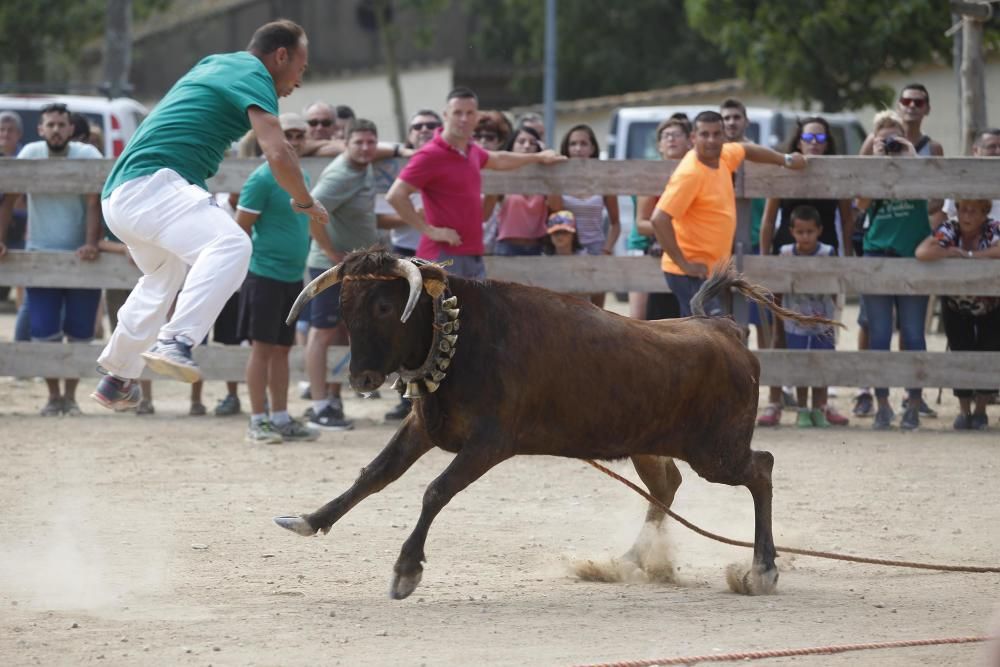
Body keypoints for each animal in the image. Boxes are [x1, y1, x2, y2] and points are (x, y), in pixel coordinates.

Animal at [276, 248, 836, 604]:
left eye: (385, 304)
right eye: (343, 305)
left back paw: (762, 569)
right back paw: (630, 560)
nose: (361, 377)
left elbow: (435, 491)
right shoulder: (425, 429)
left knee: (760, 469)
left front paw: (406, 570)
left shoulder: (488, 443)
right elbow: (374, 474)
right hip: (650, 445)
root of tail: (722, 329)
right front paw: (309, 519)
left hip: (718, 453)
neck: (464, 337)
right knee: (667, 486)